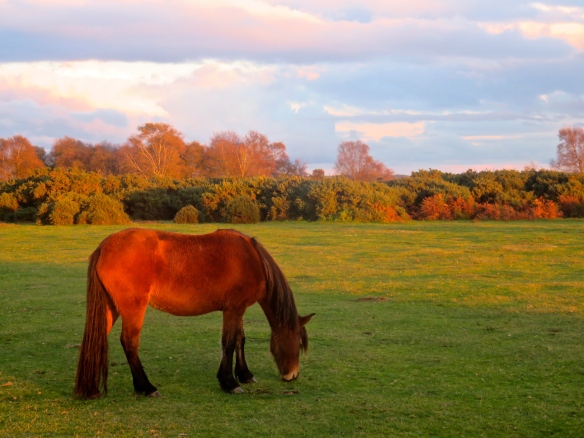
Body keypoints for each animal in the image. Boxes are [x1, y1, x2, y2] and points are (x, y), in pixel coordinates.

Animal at [73, 229, 314, 400]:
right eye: (297, 343)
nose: (293, 375)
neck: (252, 259)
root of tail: (104, 246)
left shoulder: (238, 310)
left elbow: (240, 340)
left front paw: (244, 375)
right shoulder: (233, 309)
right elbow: (229, 343)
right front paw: (230, 383)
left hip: (111, 308)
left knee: (97, 339)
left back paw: (95, 388)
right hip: (133, 309)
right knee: (129, 343)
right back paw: (147, 387)